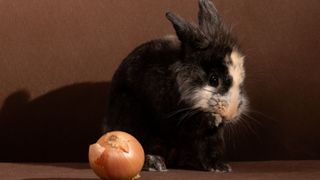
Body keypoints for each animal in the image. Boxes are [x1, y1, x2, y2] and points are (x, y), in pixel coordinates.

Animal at [104, 0, 249, 172]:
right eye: (214, 79)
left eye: (241, 81)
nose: (231, 114)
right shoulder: (174, 118)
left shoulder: (209, 137)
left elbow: (209, 149)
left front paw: (220, 167)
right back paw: (155, 163)